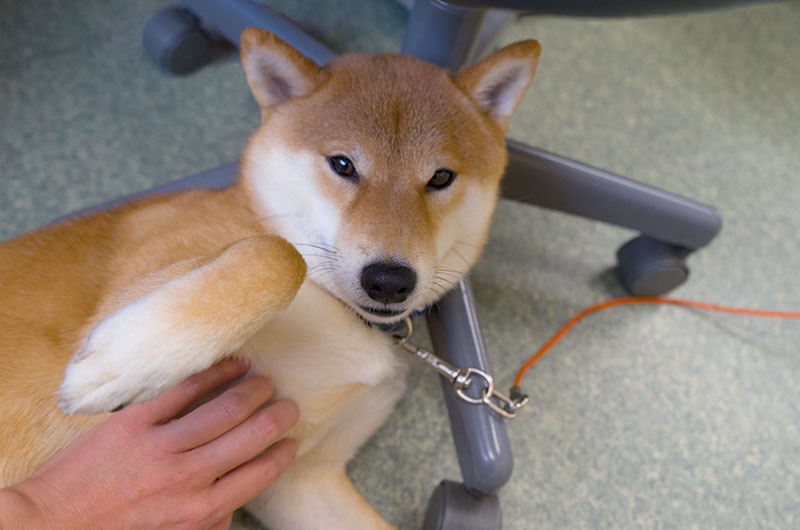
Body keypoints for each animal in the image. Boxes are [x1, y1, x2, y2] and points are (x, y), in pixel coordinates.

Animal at [0, 27, 540, 524]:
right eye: (342, 164)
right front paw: (125, 362)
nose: (389, 280)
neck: (337, 309)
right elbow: (280, 255)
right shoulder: (123, 297)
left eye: (441, 178)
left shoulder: (297, 482)